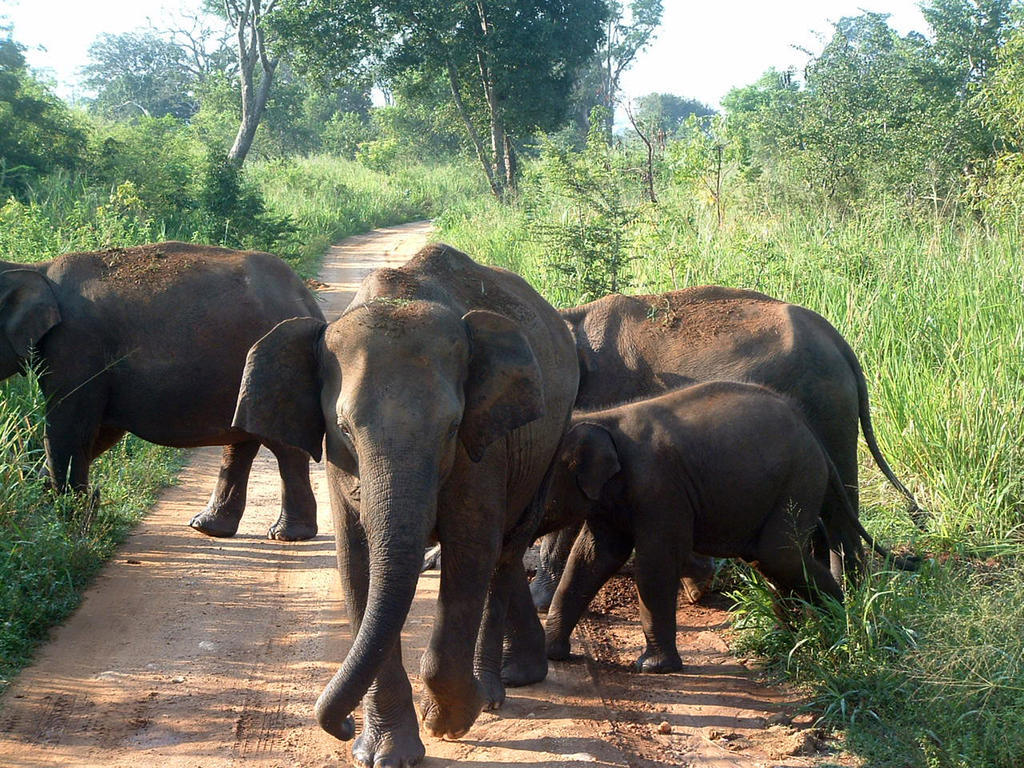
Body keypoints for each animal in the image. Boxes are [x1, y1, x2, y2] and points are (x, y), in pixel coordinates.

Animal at [234, 244, 581, 768]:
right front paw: (381, 753)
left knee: (503, 554)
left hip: (546, 442)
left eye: (451, 426)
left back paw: (490, 694)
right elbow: (356, 564)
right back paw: (516, 676)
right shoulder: (340, 464)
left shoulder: (481, 449)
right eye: (344, 427)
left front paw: (450, 722)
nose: (341, 725)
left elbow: (471, 551)